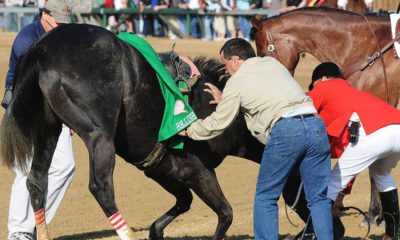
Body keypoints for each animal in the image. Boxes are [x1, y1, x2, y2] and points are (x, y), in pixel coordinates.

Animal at [0, 23, 272, 239]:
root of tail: (44, 48)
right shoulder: (199, 170)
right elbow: (225, 213)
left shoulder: (163, 171)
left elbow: (181, 205)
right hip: (98, 135)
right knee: (101, 188)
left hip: (48, 129)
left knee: (36, 182)